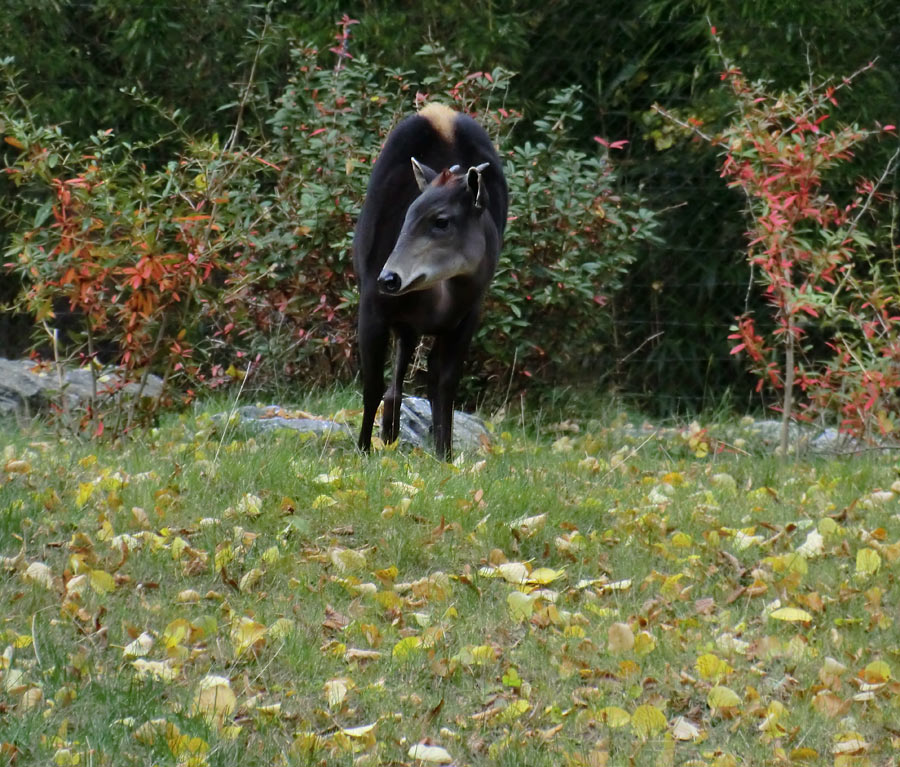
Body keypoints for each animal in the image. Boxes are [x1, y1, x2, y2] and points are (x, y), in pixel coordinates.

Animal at [352, 104, 506, 460]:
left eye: (441, 221)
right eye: (406, 216)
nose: (388, 277)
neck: (438, 296)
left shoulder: (467, 317)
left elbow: (444, 384)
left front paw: (445, 456)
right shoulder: (372, 306)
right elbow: (372, 384)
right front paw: (363, 450)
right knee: (392, 386)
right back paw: (386, 439)